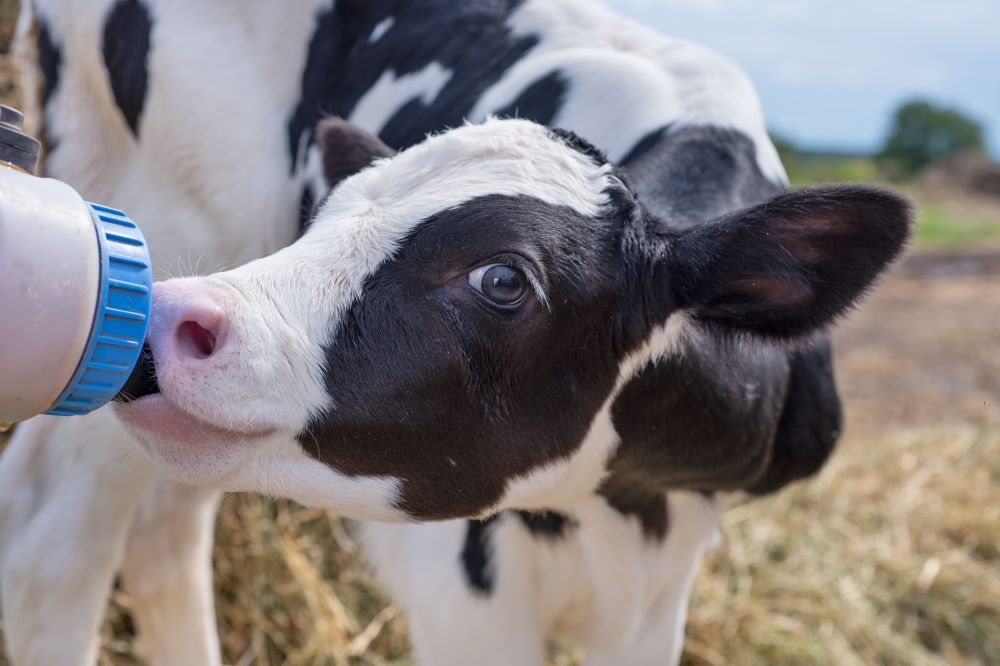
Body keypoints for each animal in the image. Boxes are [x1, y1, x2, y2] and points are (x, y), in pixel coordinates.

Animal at [0, 0, 908, 660]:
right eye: (321, 214)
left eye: (502, 279)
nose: (169, 316)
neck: (619, 506)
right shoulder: (463, 592)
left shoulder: (662, 581)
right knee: (54, 546)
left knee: (162, 534)